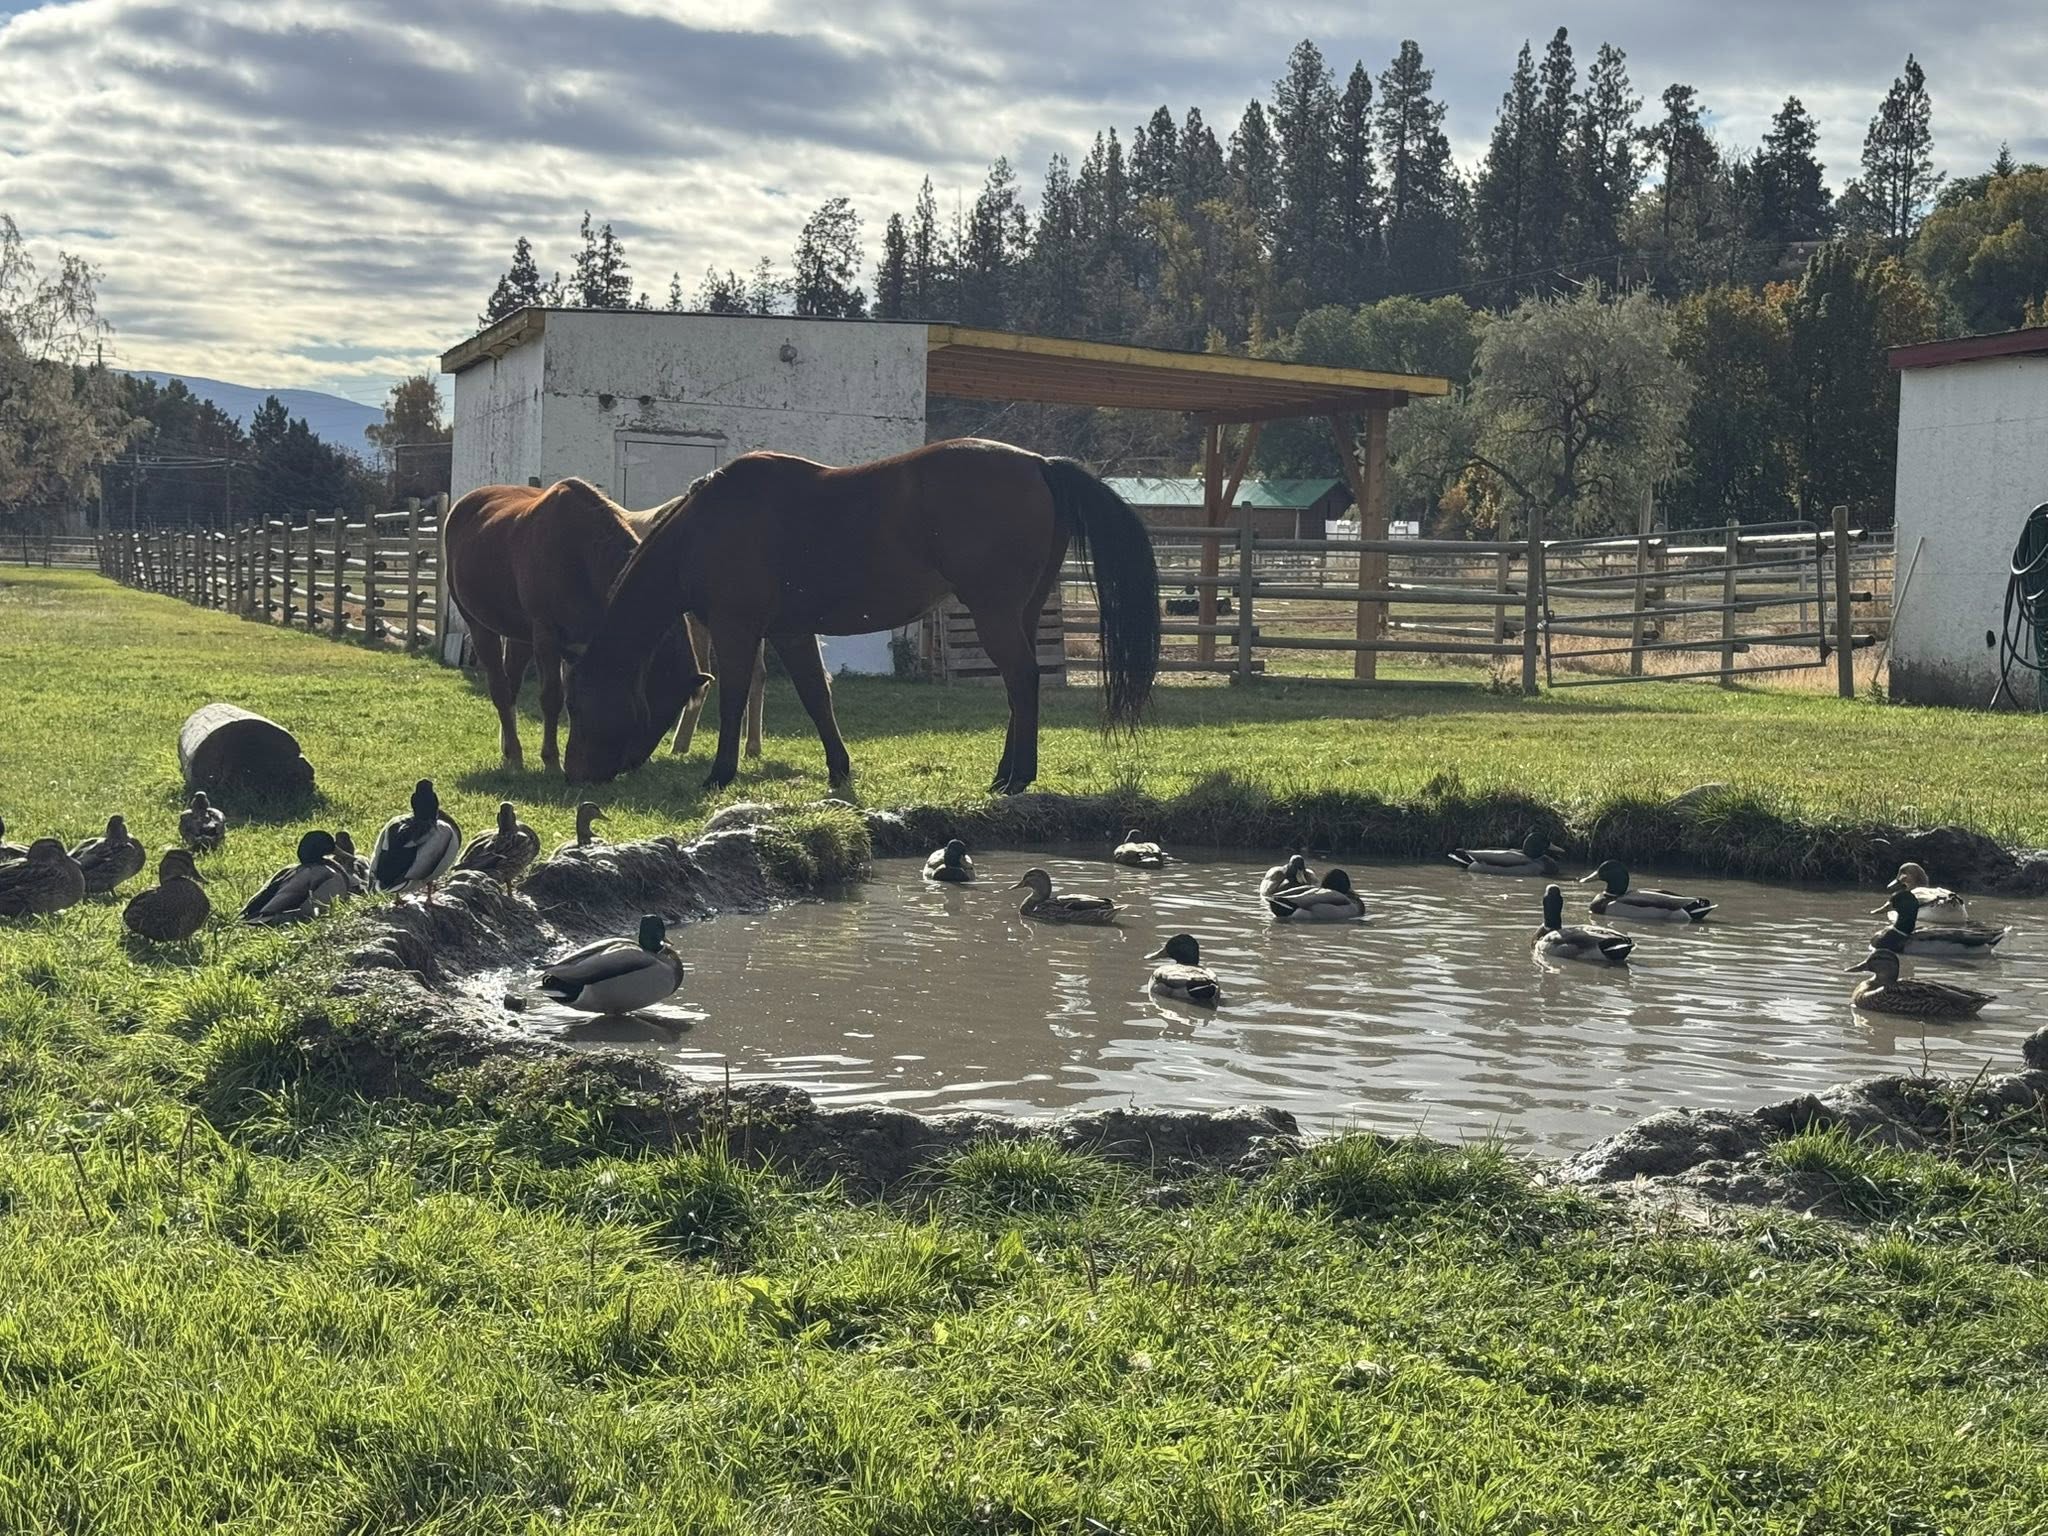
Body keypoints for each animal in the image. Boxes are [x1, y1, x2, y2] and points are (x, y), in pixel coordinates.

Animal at [442, 479, 770, 771]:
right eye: (658, 704)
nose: (633, 763)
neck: (578, 552)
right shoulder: (547, 636)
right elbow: (552, 698)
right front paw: (552, 761)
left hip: (519, 635)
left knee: (510, 687)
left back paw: (510, 751)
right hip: (480, 626)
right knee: (500, 688)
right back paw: (516, 755)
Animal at [563, 438, 1161, 794]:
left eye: (579, 704)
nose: (574, 775)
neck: (705, 527)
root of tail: (1039, 464)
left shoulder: (737, 628)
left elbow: (733, 698)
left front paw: (721, 772)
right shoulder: (790, 631)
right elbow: (816, 697)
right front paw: (838, 768)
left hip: (994, 612)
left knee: (1022, 679)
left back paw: (1018, 777)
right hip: (1025, 612)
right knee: (1020, 686)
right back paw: (1004, 773)